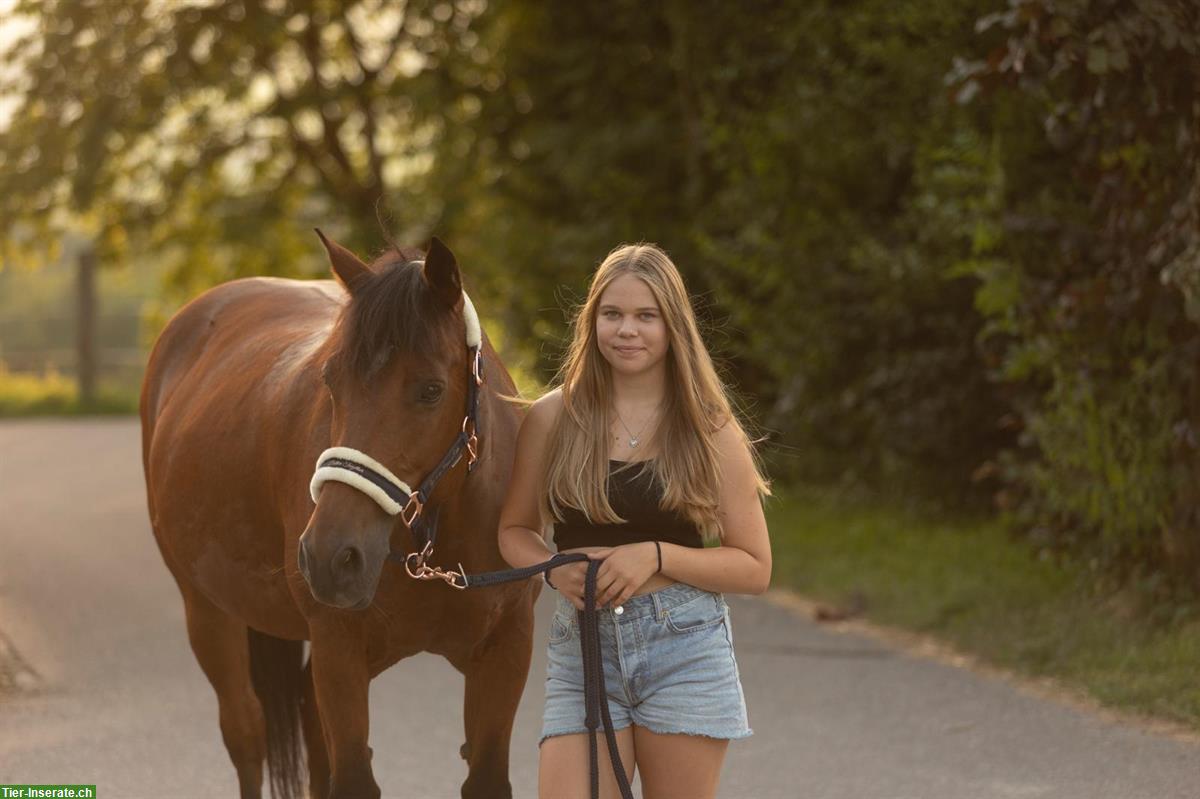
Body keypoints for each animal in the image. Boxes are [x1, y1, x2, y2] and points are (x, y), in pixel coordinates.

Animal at [139, 231, 535, 796]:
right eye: (331, 380)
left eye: (431, 389)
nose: (330, 556)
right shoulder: (338, 650)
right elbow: (351, 775)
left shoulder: (506, 649)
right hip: (207, 611)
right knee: (247, 732)